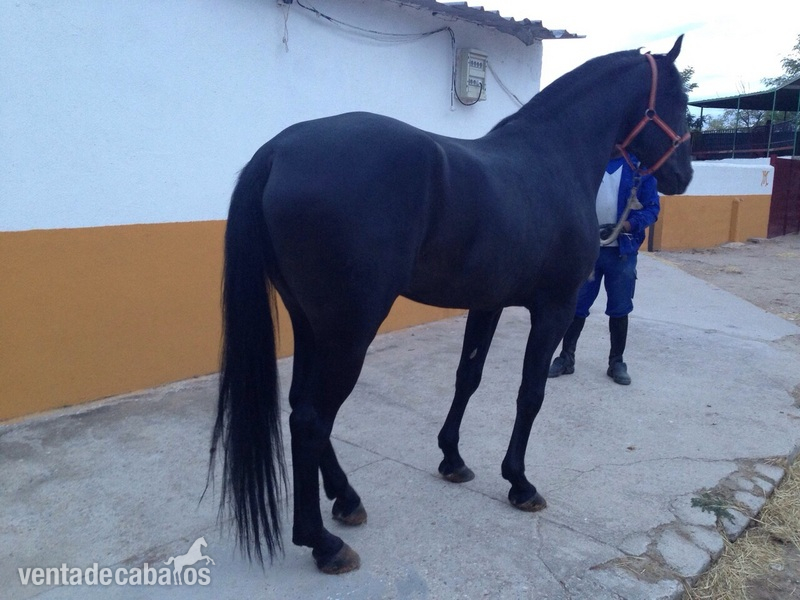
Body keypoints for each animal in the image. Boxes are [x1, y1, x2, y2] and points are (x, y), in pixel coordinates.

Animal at [208, 36, 693, 575]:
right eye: (678, 98)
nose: (684, 175)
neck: (553, 158)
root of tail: (279, 150)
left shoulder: (488, 304)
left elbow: (468, 378)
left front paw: (453, 459)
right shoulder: (555, 307)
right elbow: (531, 393)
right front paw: (519, 483)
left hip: (312, 325)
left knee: (301, 407)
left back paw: (347, 499)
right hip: (350, 332)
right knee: (312, 418)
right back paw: (322, 542)